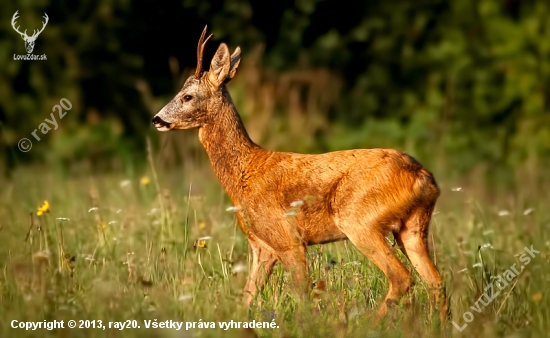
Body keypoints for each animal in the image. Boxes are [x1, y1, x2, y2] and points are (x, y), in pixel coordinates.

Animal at [151, 26, 448, 322]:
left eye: (187, 96)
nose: (156, 119)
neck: (245, 172)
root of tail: (423, 177)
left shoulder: (288, 240)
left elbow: (302, 296)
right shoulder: (261, 246)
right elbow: (246, 298)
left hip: (360, 220)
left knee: (401, 277)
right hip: (412, 228)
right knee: (436, 281)